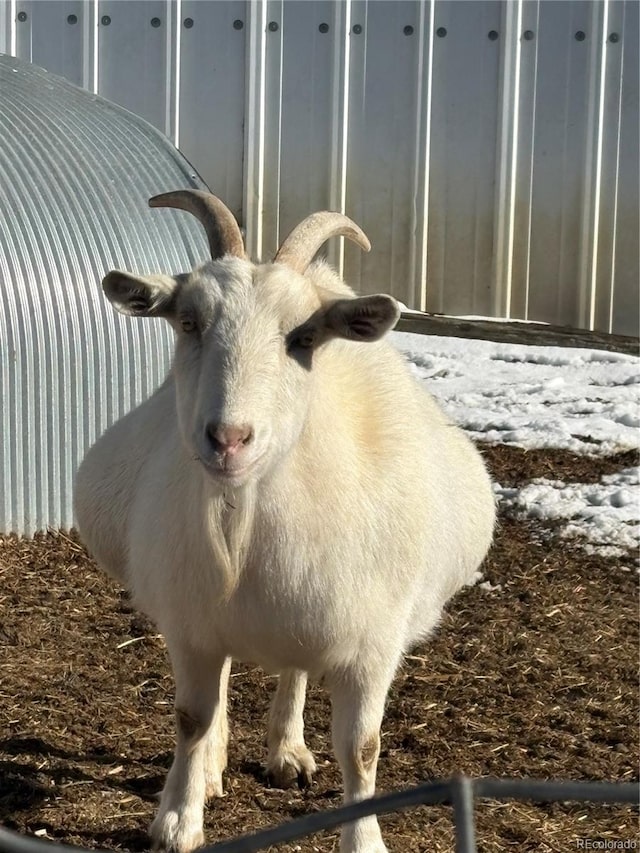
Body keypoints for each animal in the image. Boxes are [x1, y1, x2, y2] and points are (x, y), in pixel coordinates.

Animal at [75, 191, 496, 852]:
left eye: (305, 336)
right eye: (187, 321)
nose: (228, 439)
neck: (242, 518)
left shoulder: (371, 641)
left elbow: (362, 747)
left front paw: (364, 838)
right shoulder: (191, 623)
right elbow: (191, 718)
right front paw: (178, 818)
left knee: (294, 672)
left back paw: (288, 753)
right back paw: (217, 767)